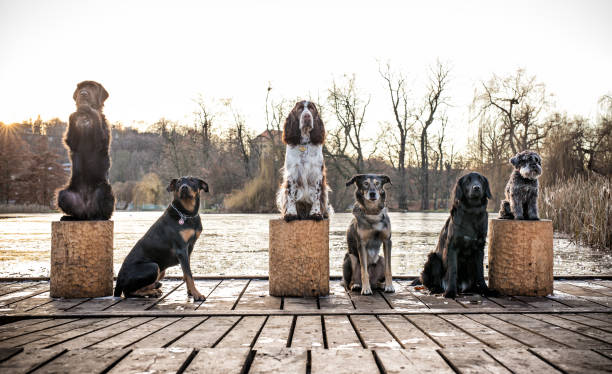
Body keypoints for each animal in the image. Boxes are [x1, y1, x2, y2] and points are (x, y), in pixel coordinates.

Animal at [58, 80, 115, 221]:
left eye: (92, 87)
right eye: (80, 87)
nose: (83, 93)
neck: (85, 119)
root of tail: (86, 211)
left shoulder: (101, 139)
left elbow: (96, 117)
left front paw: (90, 110)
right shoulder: (73, 142)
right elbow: (72, 135)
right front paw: (75, 113)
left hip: (104, 189)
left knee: (103, 212)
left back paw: (99, 217)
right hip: (65, 194)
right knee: (76, 212)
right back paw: (69, 217)